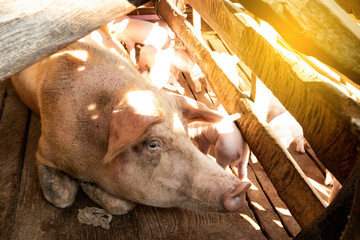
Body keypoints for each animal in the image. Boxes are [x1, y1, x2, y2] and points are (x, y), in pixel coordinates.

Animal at [9, 27, 250, 215]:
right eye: (153, 144)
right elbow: (61, 198)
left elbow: (124, 206)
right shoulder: (44, 150)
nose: (242, 188)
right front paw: (82, 185)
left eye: (186, 134)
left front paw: (87, 186)